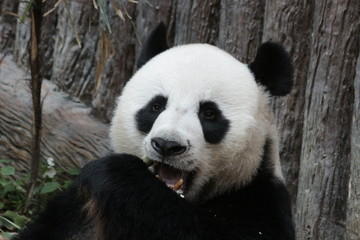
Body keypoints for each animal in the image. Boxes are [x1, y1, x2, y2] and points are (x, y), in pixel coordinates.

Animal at [14, 23, 296, 240]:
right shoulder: (75, 209)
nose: (167, 145)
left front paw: (116, 172)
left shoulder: (259, 201)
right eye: (156, 105)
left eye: (209, 114)